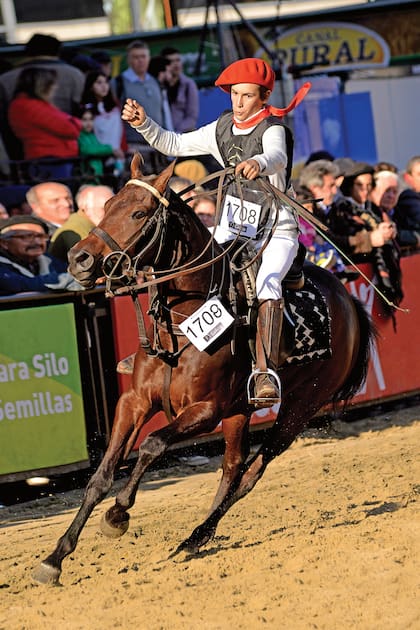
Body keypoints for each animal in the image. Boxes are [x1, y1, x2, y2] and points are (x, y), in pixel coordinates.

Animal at [32, 156, 374, 584]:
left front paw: (118, 512)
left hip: (299, 408)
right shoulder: (134, 401)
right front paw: (55, 557)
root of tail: (348, 301)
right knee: (232, 468)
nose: (79, 258)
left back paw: (198, 534)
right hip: (240, 411)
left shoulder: (206, 410)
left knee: (251, 471)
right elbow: (101, 475)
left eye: (139, 213)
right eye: (107, 205)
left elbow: (153, 444)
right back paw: (196, 537)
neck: (182, 323)